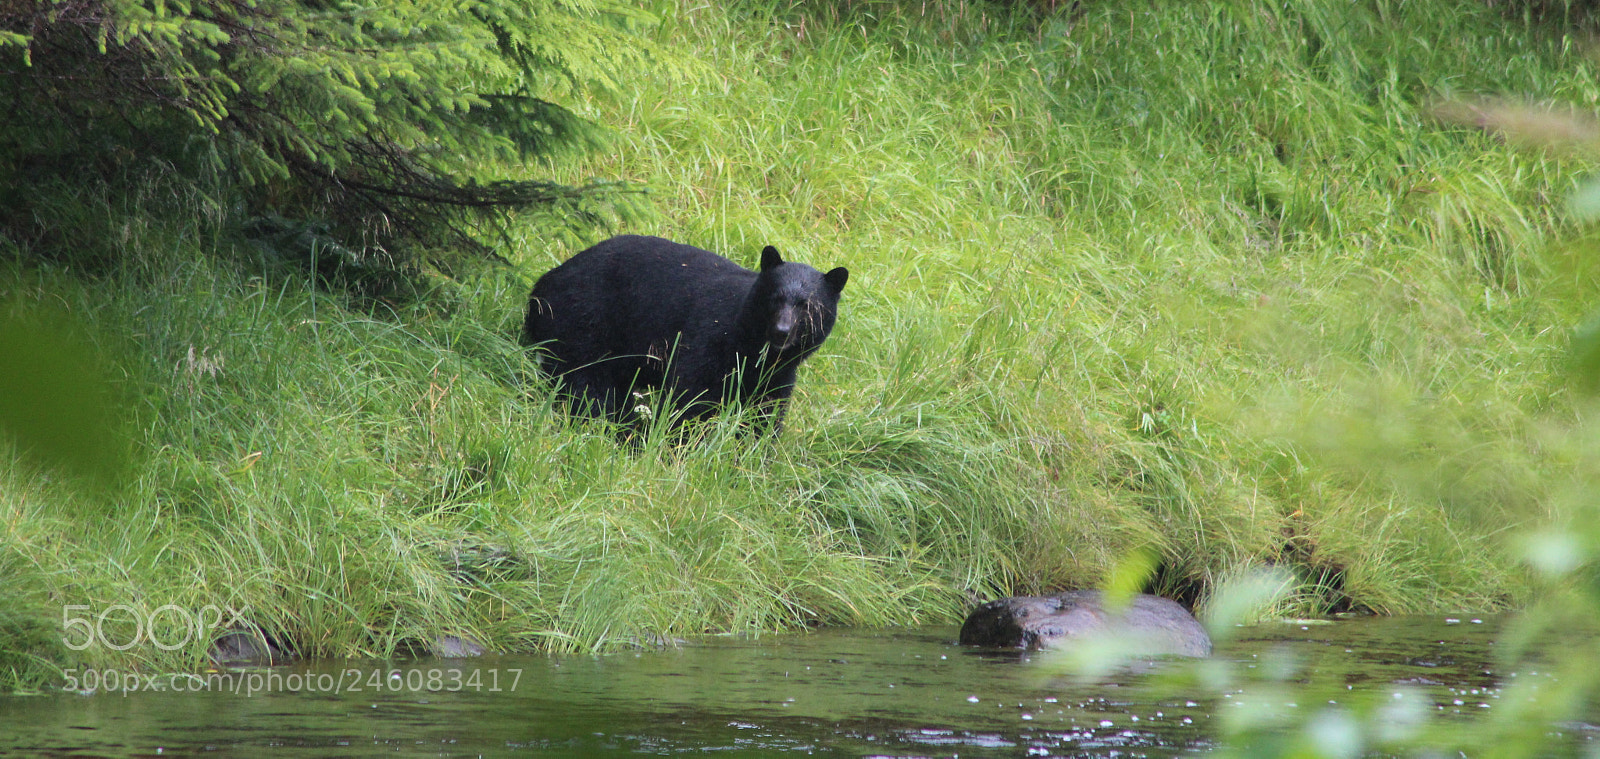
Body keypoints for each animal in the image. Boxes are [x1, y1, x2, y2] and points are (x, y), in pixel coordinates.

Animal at [521, 235, 848, 434]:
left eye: (807, 306)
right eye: (775, 298)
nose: (781, 332)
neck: (750, 346)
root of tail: (541, 285)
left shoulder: (776, 375)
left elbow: (764, 416)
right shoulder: (707, 338)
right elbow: (690, 397)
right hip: (583, 323)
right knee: (588, 387)